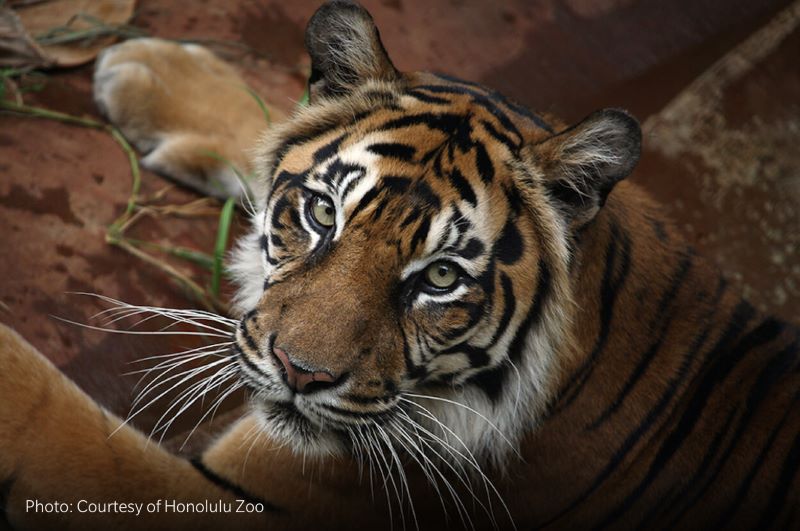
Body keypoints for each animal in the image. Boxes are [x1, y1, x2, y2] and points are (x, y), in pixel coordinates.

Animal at [0, 1, 796, 531]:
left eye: (441, 278)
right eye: (323, 214)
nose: (301, 375)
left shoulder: (250, 504)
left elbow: (58, 420)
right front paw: (155, 71)